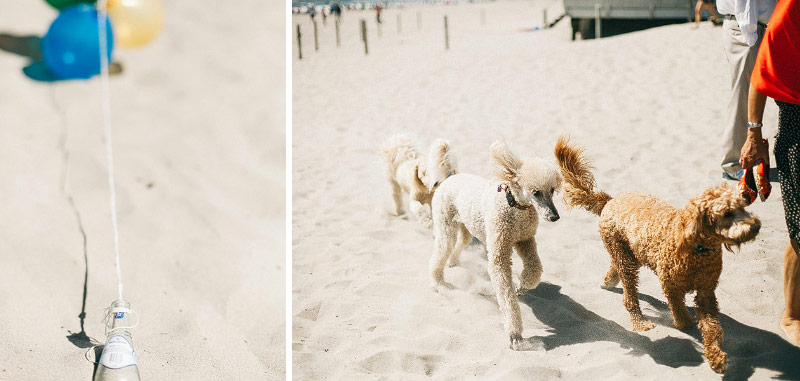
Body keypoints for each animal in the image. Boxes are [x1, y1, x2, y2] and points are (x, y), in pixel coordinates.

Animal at [552, 136, 764, 372]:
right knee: (629, 297)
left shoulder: (706, 291)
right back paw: (640, 322)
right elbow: (680, 311)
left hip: (629, 252)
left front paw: (716, 356)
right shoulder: (670, 285)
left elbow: (712, 327)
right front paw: (685, 325)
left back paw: (608, 281)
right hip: (625, 257)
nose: (756, 226)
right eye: (727, 214)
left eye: (744, 207)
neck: (697, 248)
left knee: (616, 267)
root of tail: (610, 200)